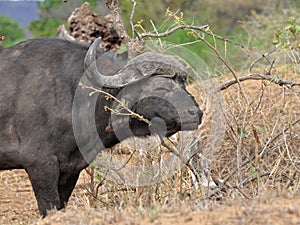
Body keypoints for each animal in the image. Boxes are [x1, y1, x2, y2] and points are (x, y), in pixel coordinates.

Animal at [0, 37, 203, 216]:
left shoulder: (70, 170)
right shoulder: (39, 164)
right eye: (161, 88)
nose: (196, 113)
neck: (74, 96)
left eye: (183, 84)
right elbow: (48, 207)